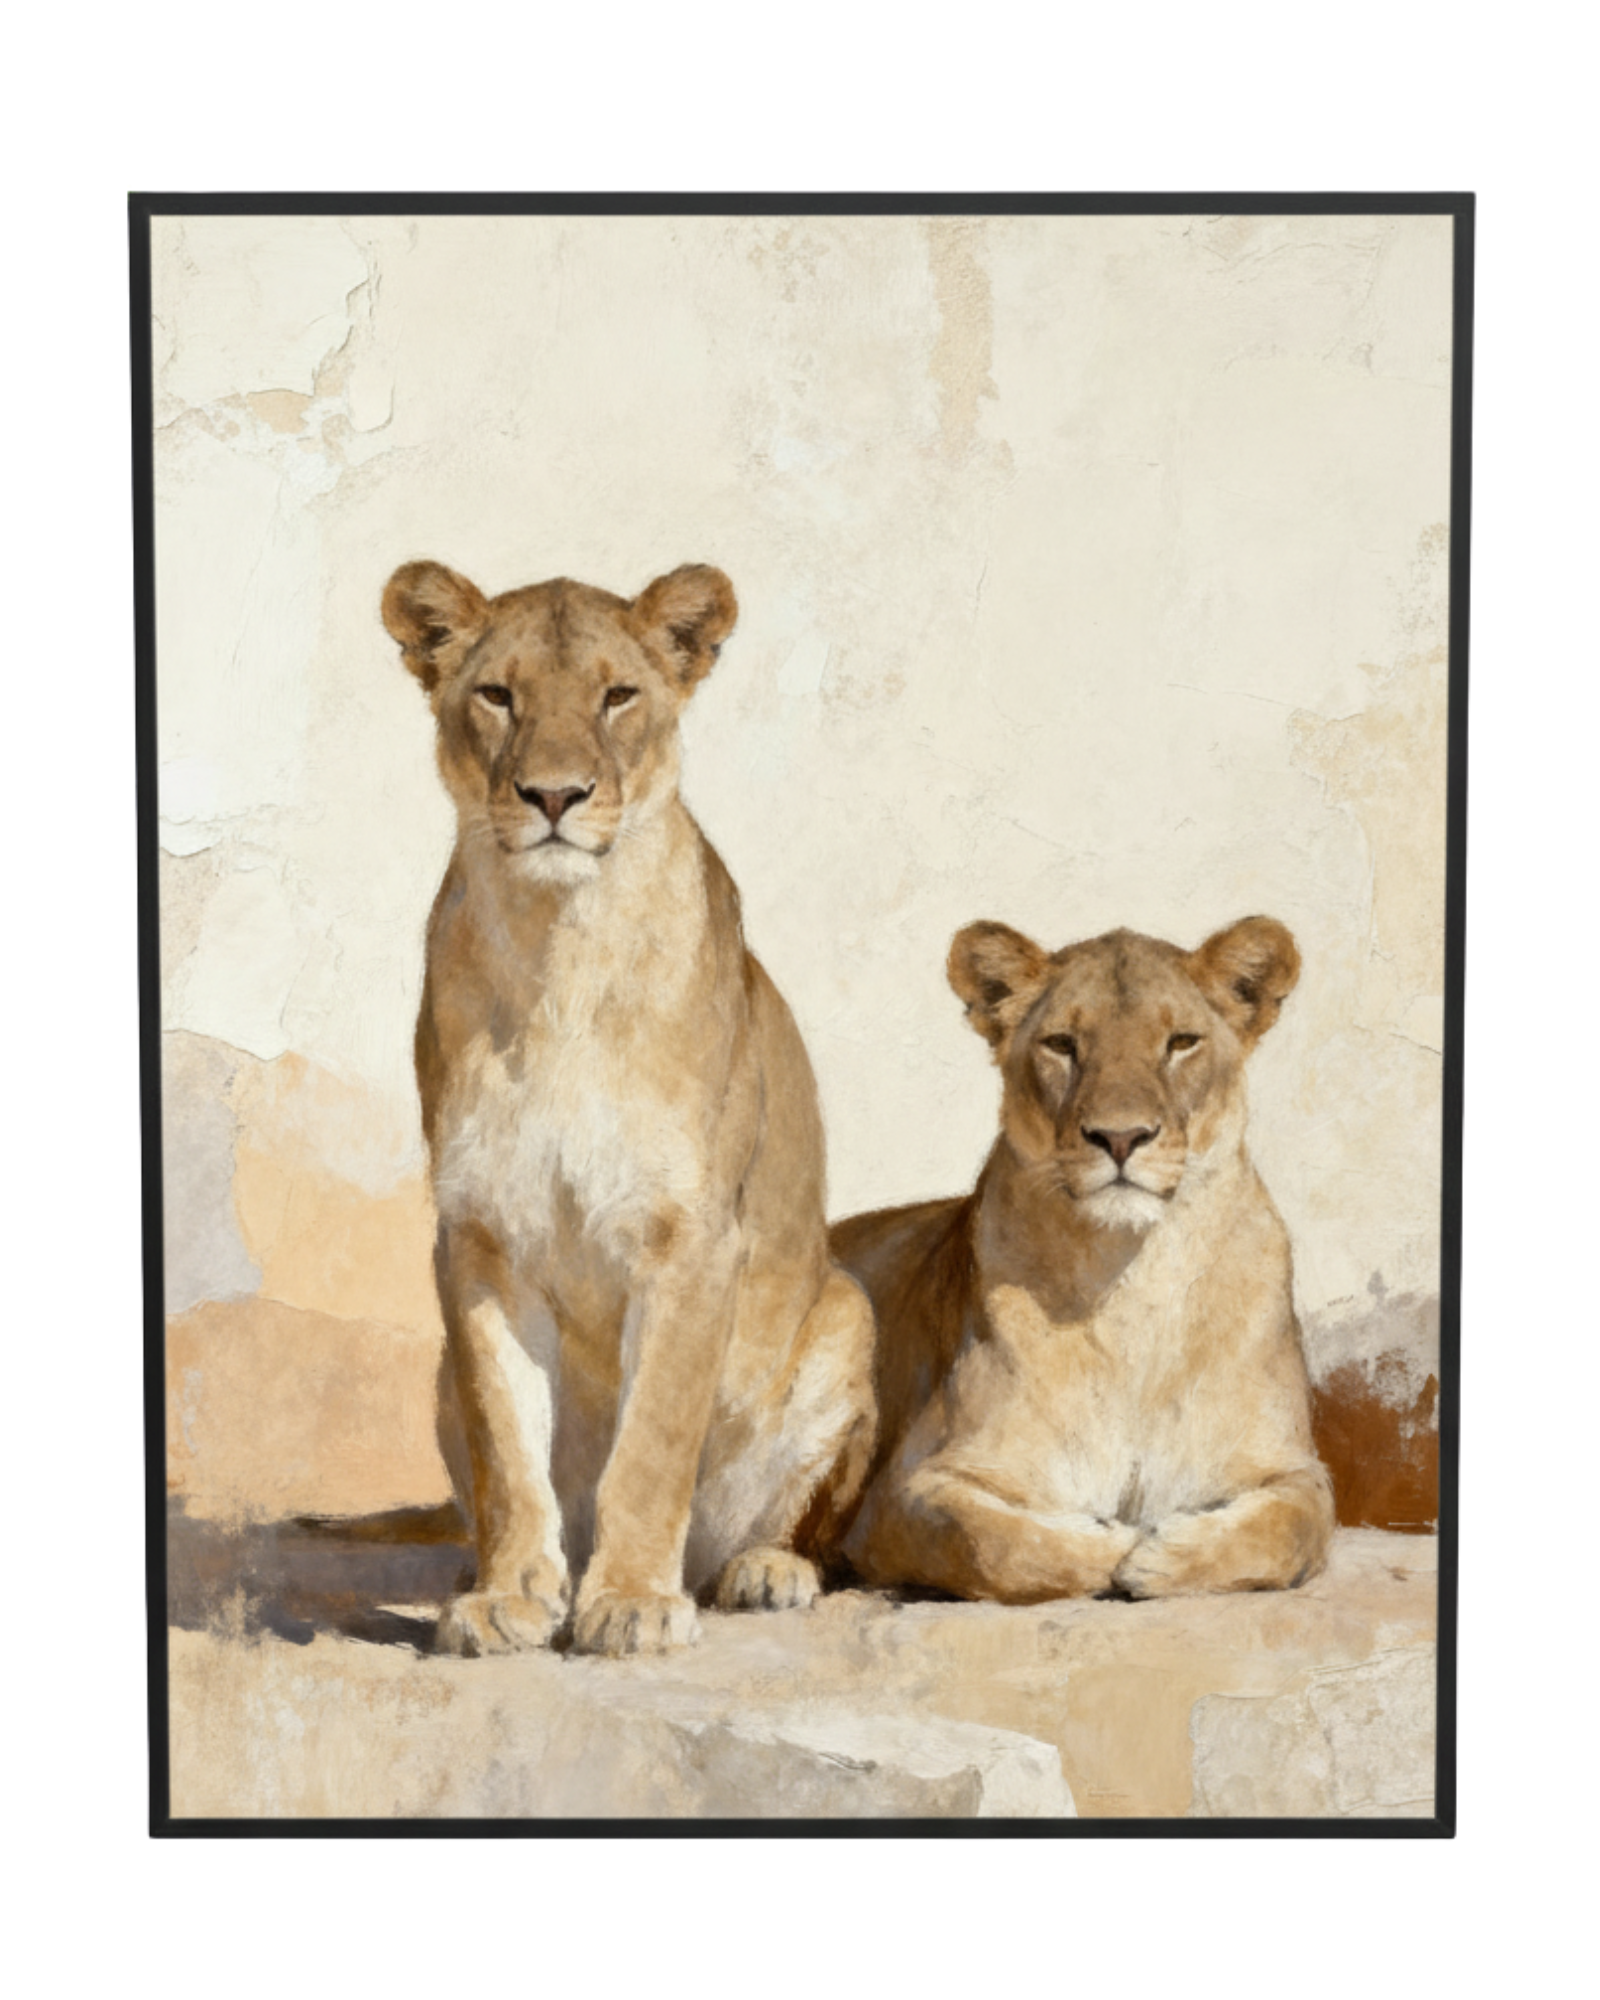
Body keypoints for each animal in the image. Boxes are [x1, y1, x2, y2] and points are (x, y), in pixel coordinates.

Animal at [381, 558, 876, 1657]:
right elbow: (506, 1438)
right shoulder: (476, 1237)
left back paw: (758, 1571)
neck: (558, 945)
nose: (553, 794)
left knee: (796, 1523)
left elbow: (652, 1441)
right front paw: (510, 1595)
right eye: (498, 694)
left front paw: (635, 1600)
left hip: (843, 1314)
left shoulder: (689, 1236)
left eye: (617, 695)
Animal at [830, 916, 1334, 1603]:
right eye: (1062, 1044)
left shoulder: (1294, 1468)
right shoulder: (901, 1493)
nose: (1120, 1137)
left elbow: (1292, 1530)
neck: (1130, 1284)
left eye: (1181, 1042)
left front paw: (1164, 1556)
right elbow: (987, 1543)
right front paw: (1114, 1542)